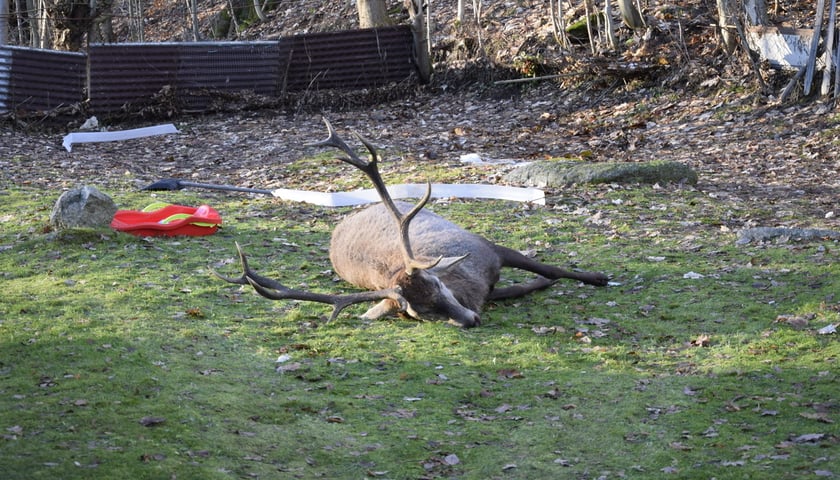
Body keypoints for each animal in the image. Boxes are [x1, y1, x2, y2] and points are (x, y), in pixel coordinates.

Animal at [215, 117, 612, 326]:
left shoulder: (487, 247)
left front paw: (596, 277)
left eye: (436, 285)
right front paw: (541, 285)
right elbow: (522, 287)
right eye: (420, 313)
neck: (472, 285)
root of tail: (343, 222)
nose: (470, 320)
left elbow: (550, 267)